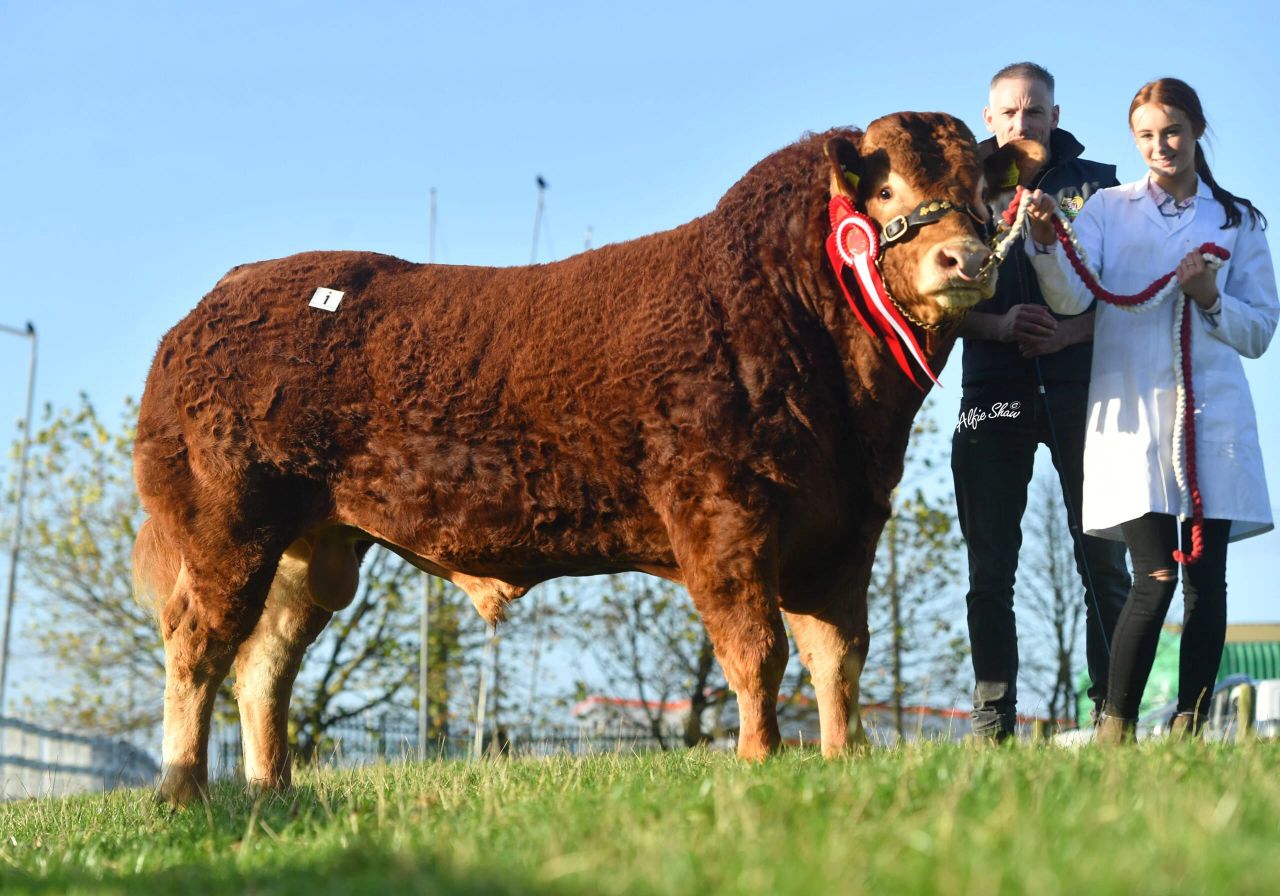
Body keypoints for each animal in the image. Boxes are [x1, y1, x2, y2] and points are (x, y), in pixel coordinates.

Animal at [133, 111, 1035, 804]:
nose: (965, 258)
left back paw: (270, 790)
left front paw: (842, 759)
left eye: (981, 191)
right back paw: (183, 791)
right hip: (227, 523)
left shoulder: (845, 526)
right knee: (198, 645)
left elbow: (838, 656)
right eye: (885, 192)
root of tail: (209, 307)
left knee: (263, 665)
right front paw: (760, 760)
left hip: (311, 548)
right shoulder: (722, 511)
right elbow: (758, 650)